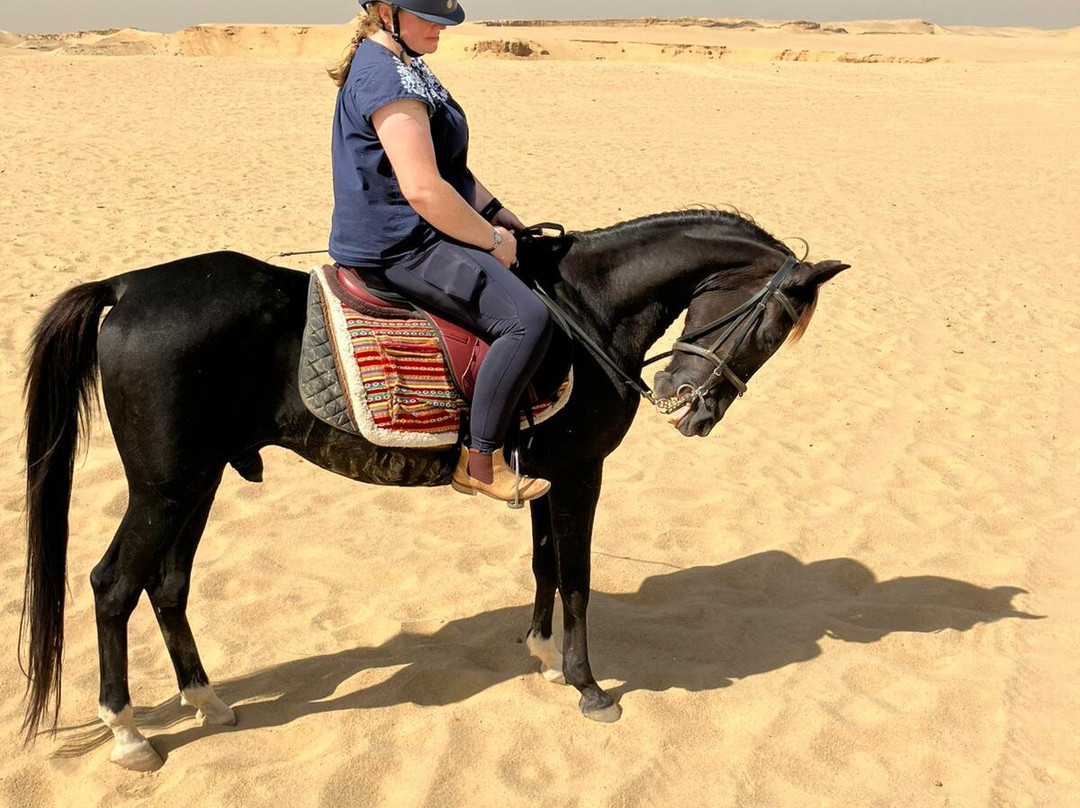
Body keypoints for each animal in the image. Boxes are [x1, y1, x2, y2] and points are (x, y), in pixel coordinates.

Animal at [23, 209, 842, 769]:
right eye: (772, 326)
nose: (691, 409)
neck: (590, 311)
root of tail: (127, 287)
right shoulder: (582, 472)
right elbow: (578, 577)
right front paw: (588, 686)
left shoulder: (545, 473)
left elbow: (544, 564)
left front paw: (543, 655)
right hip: (163, 487)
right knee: (112, 585)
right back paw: (128, 732)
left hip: (200, 480)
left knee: (167, 583)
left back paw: (206, 701)